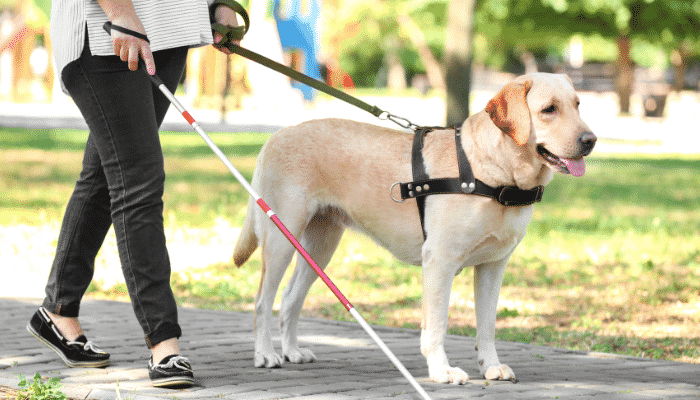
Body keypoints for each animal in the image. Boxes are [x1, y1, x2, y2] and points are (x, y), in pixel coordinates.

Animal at [234, 72, 596, 384]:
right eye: (549, 109)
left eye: (578, 104)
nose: (590, 140)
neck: (496, 173)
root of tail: (275, 136)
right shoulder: (439, 261)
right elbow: (436, 325)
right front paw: (441, 371)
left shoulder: (493, 266)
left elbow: (487, 325)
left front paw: (491, 367)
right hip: (280, 238)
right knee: (262, 300)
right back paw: (266, 354)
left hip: (319, 248)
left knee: (290, 299)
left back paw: (292, 351)